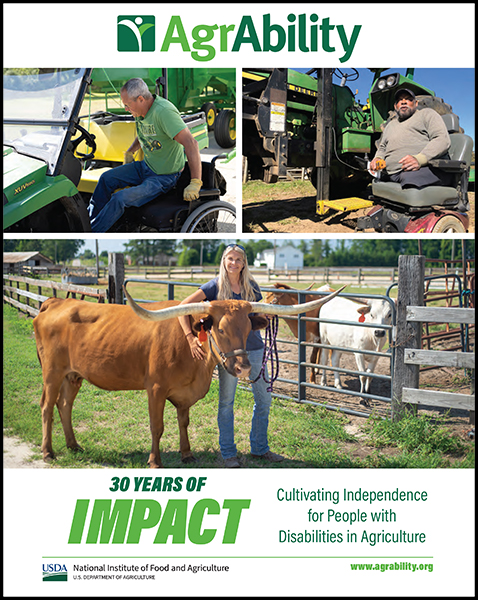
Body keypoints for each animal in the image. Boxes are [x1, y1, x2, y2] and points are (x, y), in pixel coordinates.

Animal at [32, 284, 344, 466]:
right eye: (219, 329)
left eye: (247, 328)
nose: (243, 368)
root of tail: (55, 302)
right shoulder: (155, 388)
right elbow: (157, 427)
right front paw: (155, 461)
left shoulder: (183, 394)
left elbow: (183, 422)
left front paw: (187, 454)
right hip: (52, 373)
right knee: (47, 406)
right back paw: (48, 451)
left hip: (73, 375)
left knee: (65, 405)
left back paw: (73, 445)